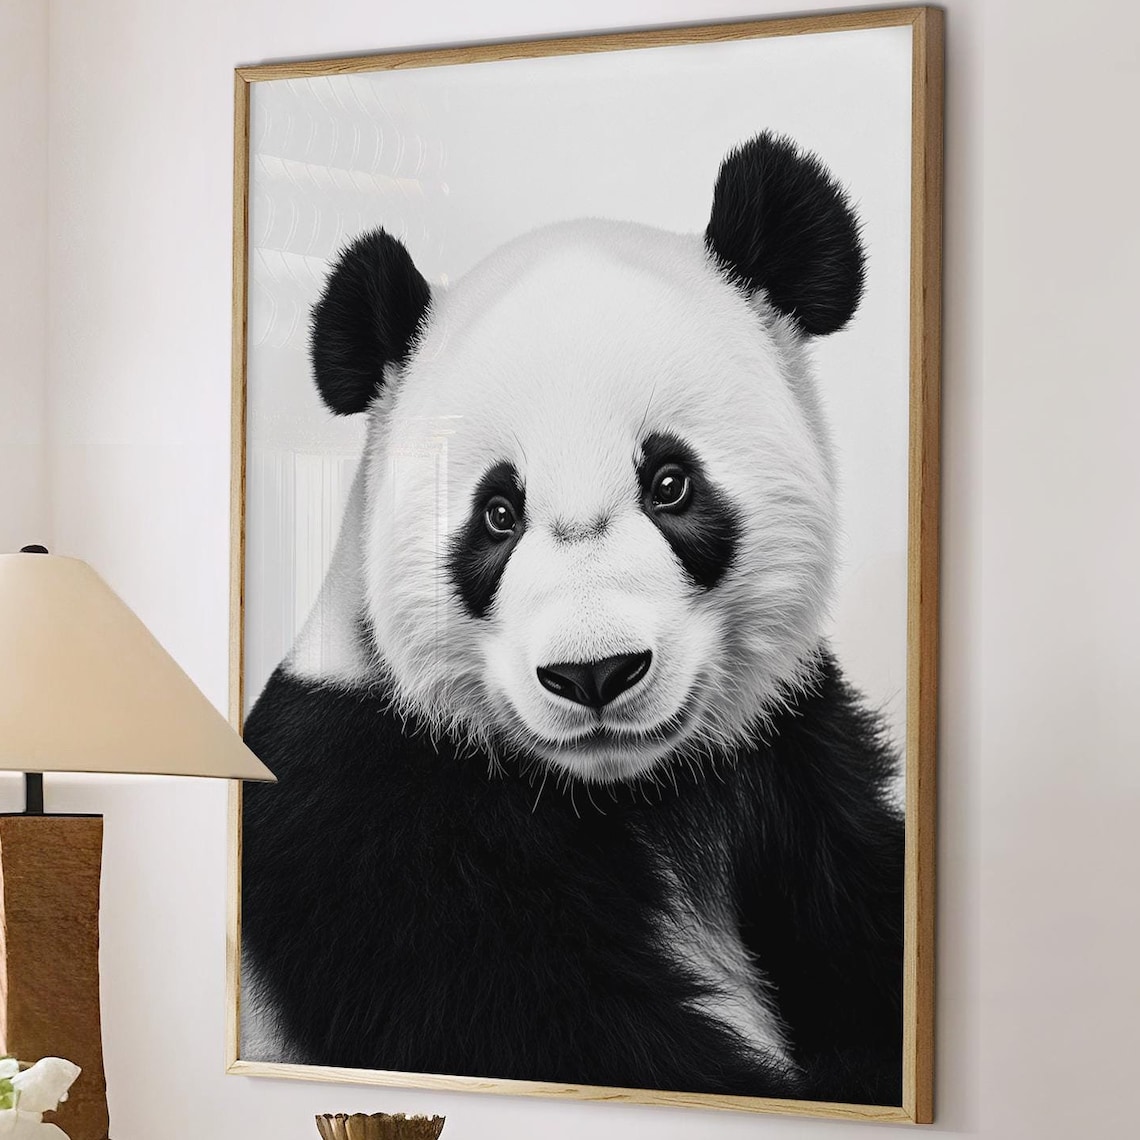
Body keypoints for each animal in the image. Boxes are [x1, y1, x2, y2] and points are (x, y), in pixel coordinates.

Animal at [240, 131, 904, 1107]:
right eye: (497, 514)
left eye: (670, 483)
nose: (595, 673)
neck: (627, 790)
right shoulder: (372, 837)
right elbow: (565, 1034)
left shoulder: (792, 763)